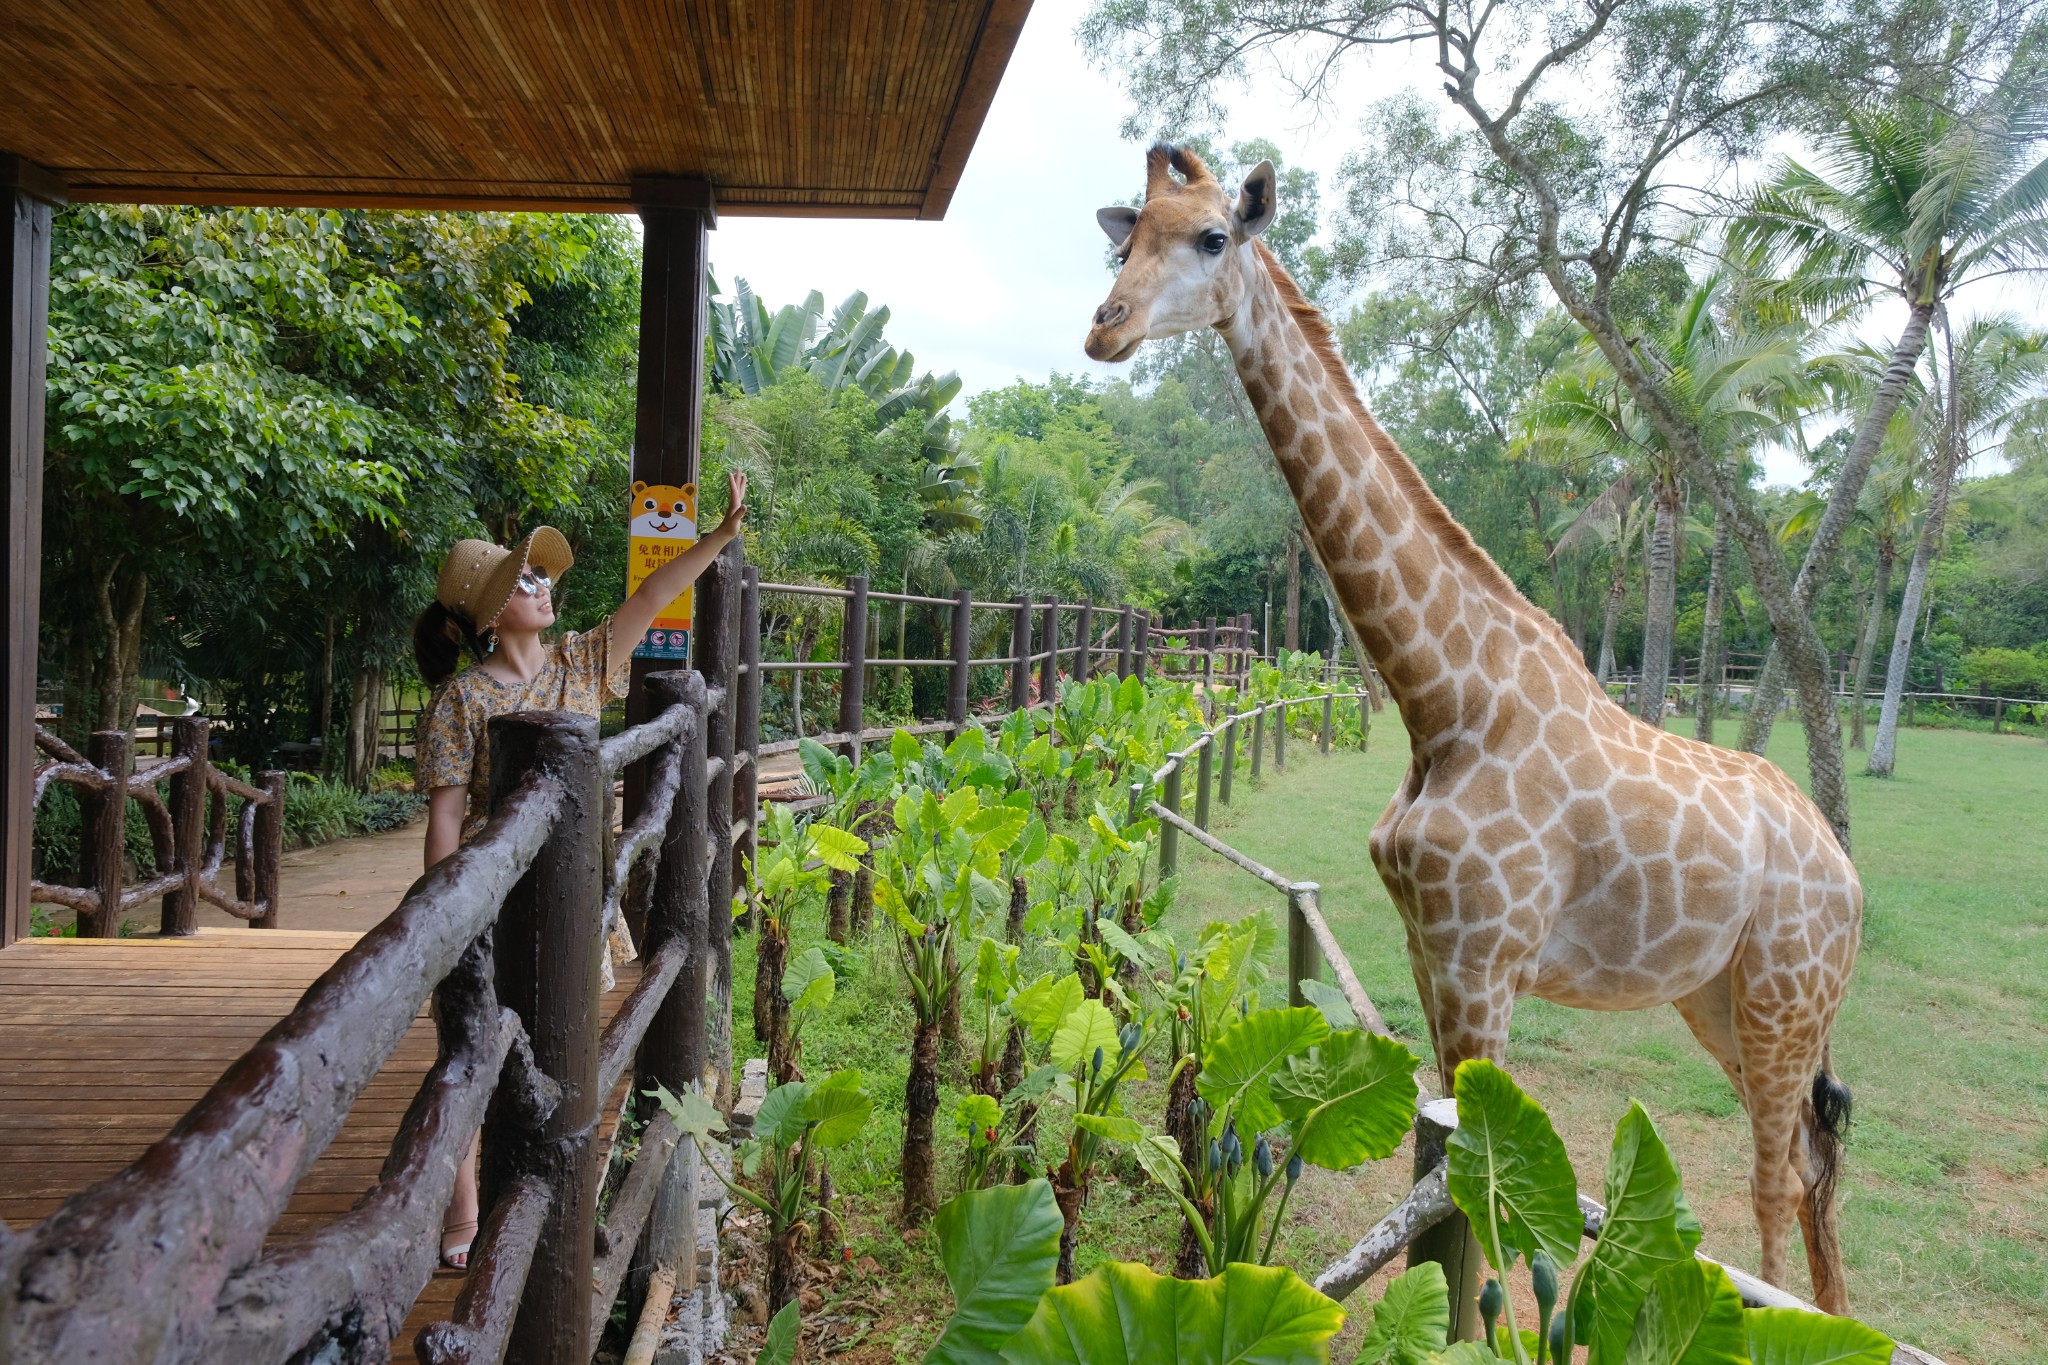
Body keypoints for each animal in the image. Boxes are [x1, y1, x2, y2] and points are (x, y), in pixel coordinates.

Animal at [1097, 147, 1867, 1309]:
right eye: (1124, 238)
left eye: (1212, 237)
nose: (1106, 327)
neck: (1442, 701)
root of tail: (1846, 871)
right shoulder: (1432, 952)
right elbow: (1456, 1155)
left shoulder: (1484, 958)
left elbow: (1490, 1184)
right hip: (1720, 996)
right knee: (1816, 1163)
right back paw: (1830, 1316)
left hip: (1784, 993)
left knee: (1775, 1174)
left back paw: (1796, 1317)